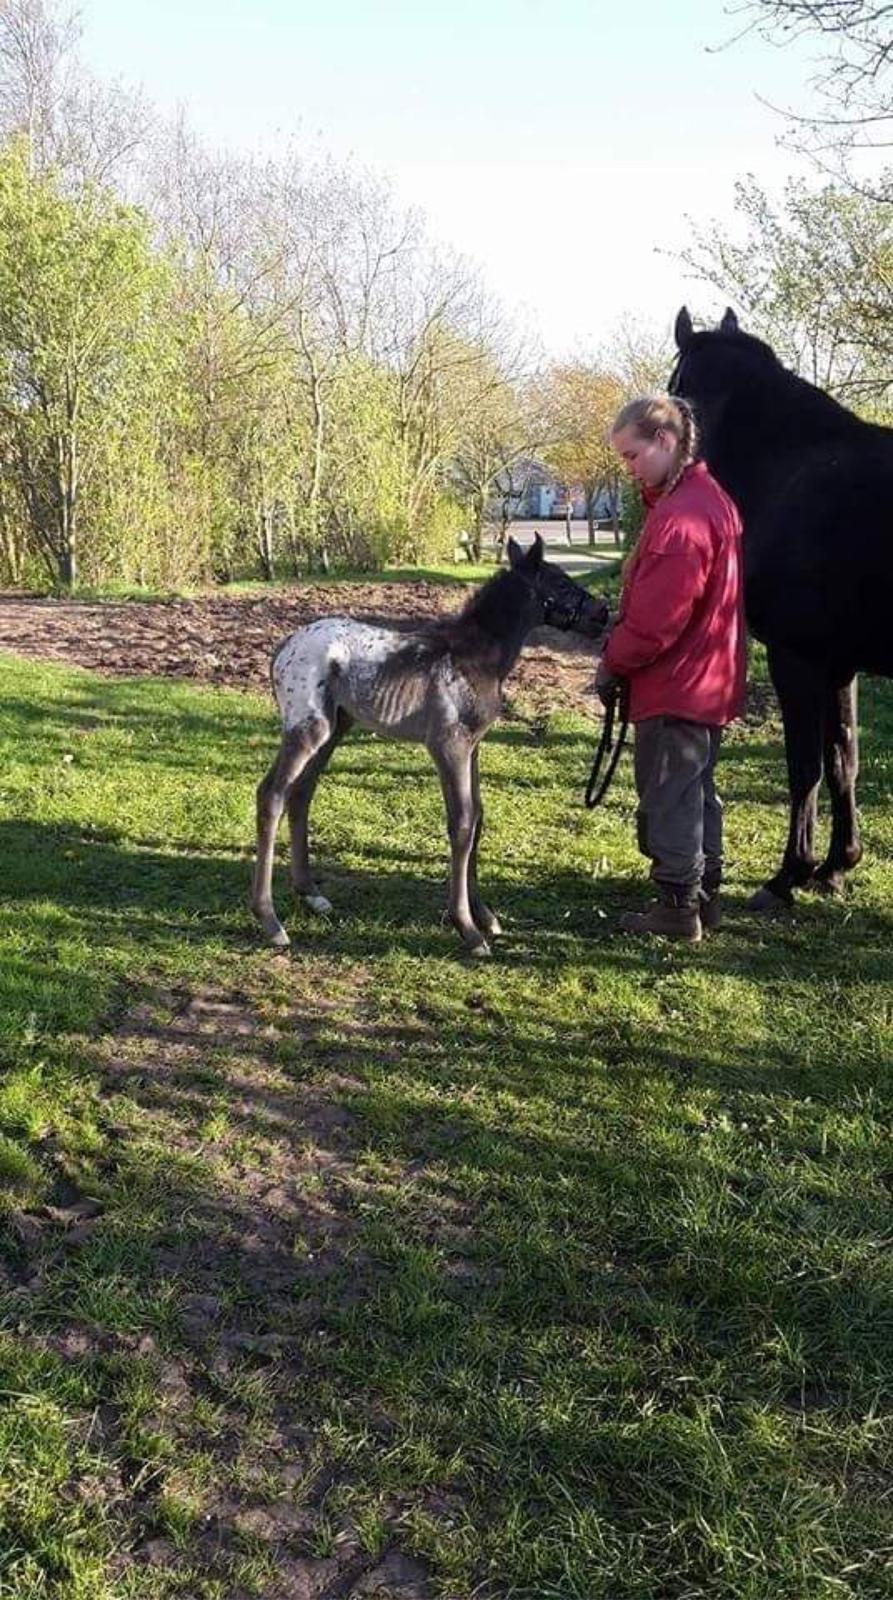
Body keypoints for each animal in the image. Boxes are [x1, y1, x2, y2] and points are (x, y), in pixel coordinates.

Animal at [672, 308, 893, 915]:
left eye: (674, 385)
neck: (791, 469)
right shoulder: (839, 666)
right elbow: (843, 760)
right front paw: (837, 866)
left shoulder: (796, 659)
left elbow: (805, 766)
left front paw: (789, 874)